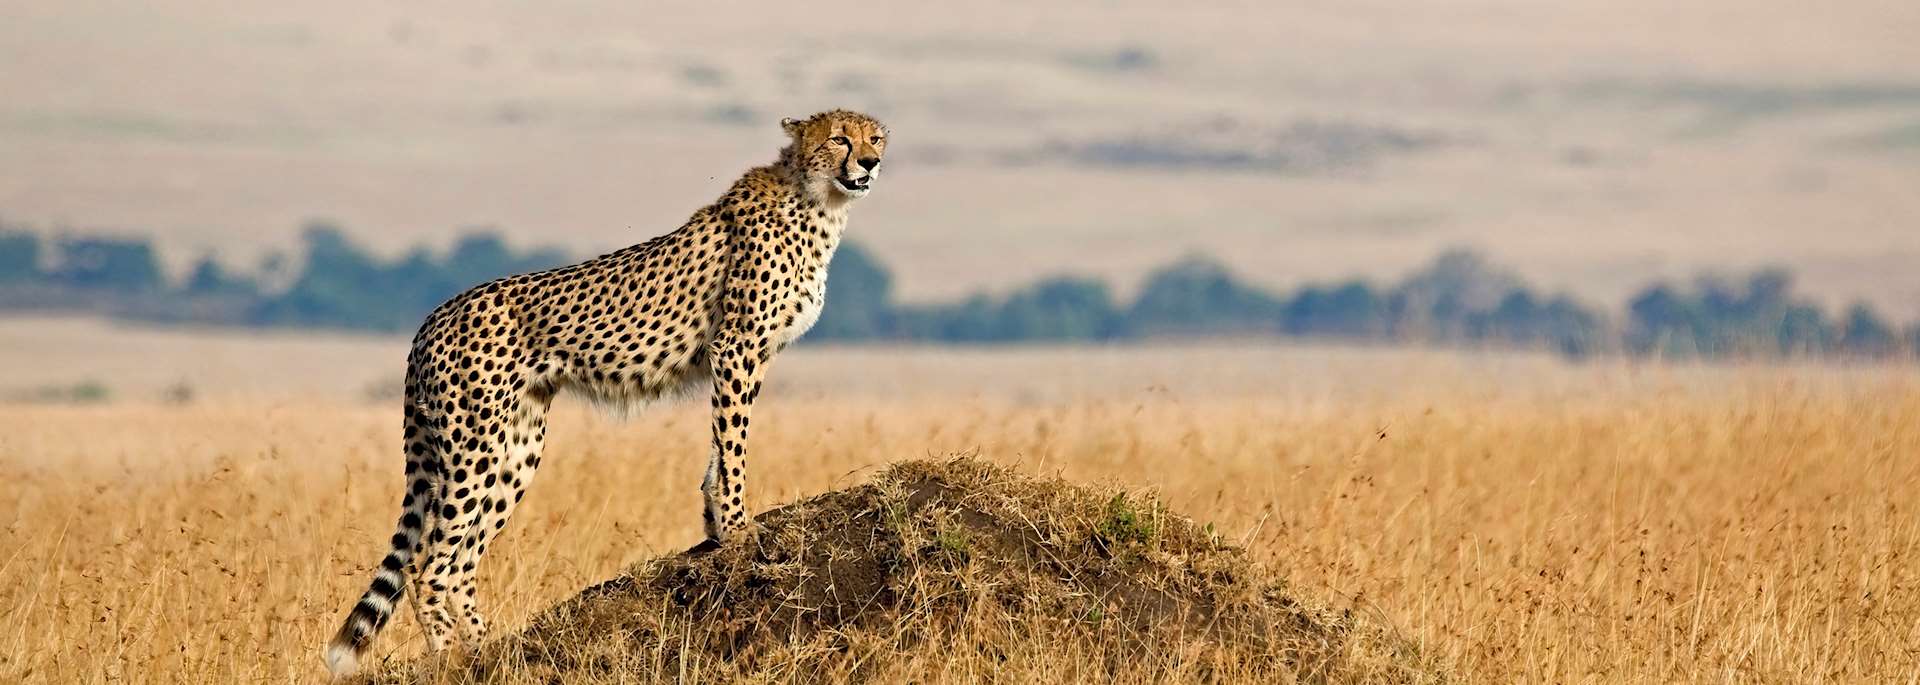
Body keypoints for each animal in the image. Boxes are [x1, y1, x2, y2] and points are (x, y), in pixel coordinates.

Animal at [323, 109, 888, 678]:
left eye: (875, 137)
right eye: (840, 138)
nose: (870, 162)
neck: (818, 200)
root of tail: (433, 317)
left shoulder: (747, 356)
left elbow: (720, 447)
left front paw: (713, 525)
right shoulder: (737, 347)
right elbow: (733, 444)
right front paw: (735, 529)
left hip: (517, 448)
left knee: (459, 562)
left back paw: (491, 650)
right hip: (474, 446)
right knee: (429, 567)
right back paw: (453, 664)